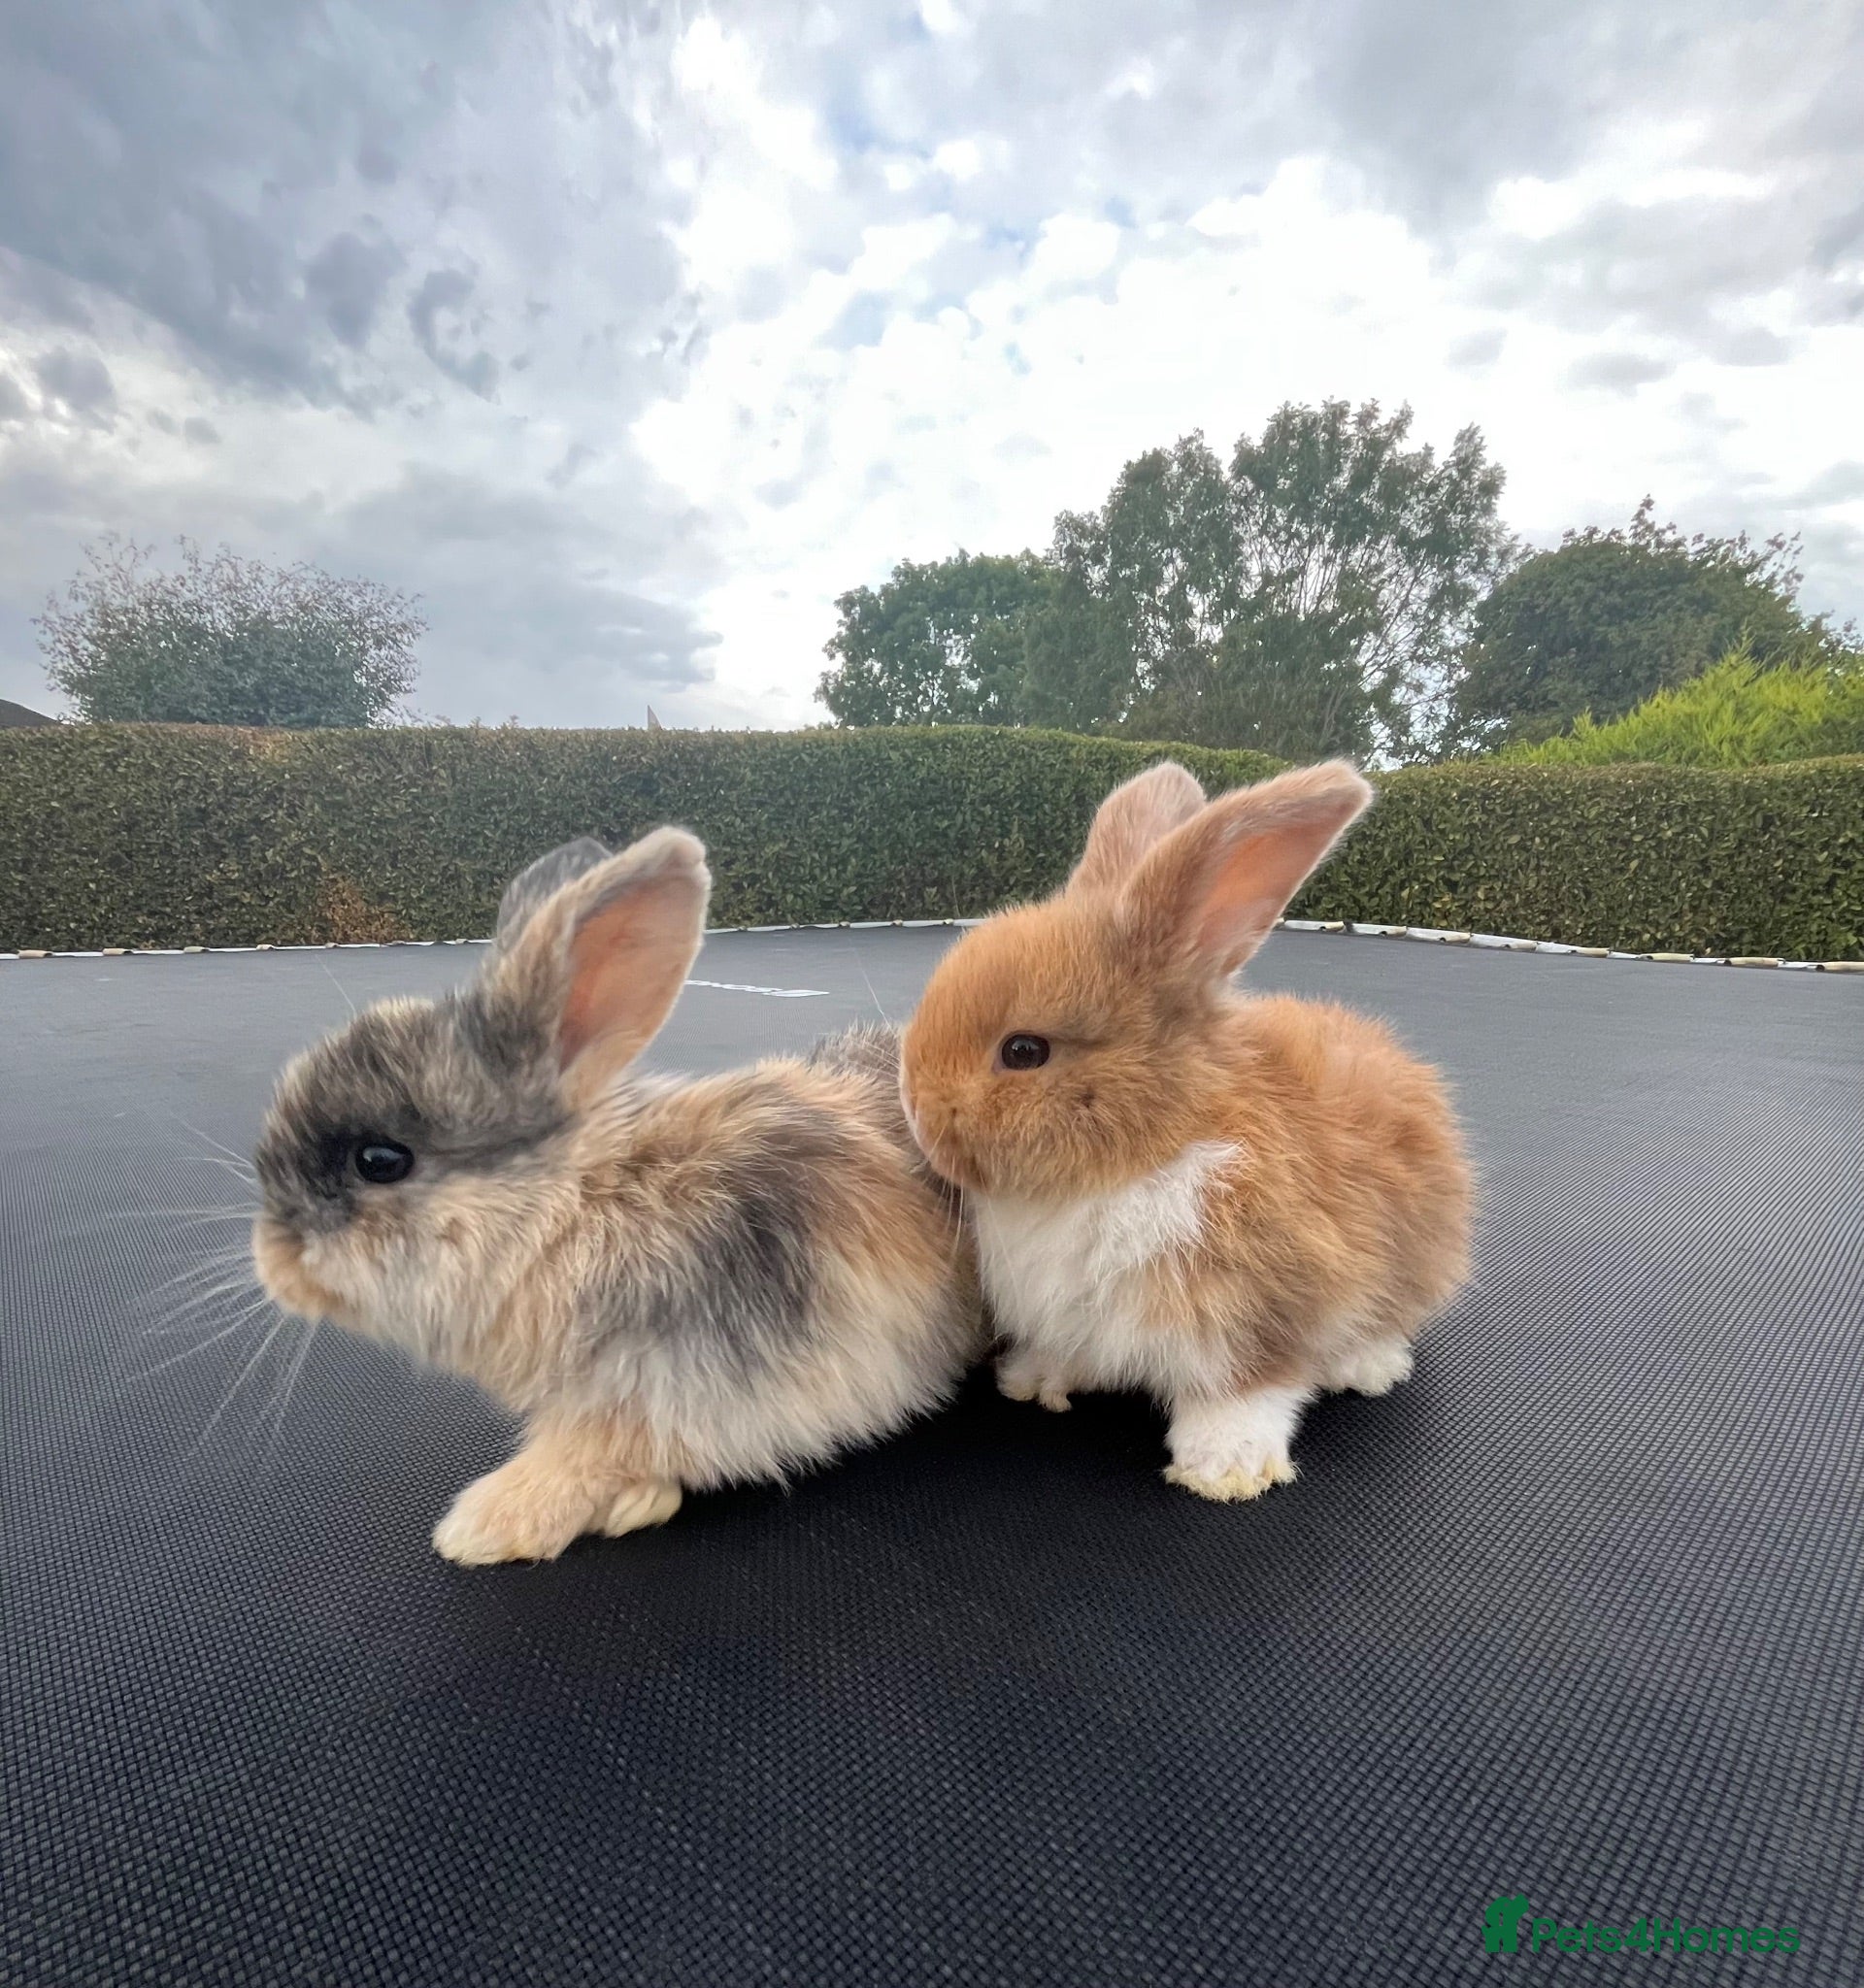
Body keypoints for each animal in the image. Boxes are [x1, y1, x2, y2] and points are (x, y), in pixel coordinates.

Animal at [251, 827, 982, 1565]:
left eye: (380, 1161)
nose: (272, 1264)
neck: (580, 1215)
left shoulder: (678, 1394)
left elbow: (589, 1457)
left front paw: (487, 1524)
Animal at [898, 758, 1472, 1503]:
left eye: (1024, 1051)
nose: (913, 1108)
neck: (1133, 1160)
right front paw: (1033, 1381)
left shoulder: (1261, 1309)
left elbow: (1248, 1393)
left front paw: (1224, 1470)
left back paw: (1367, 1367)